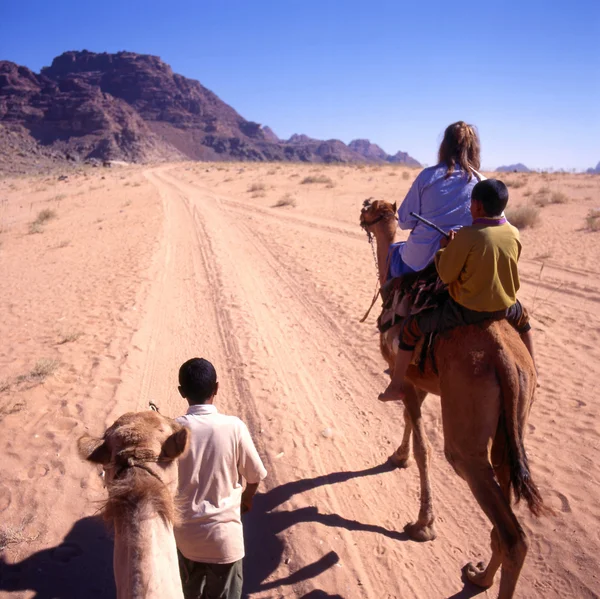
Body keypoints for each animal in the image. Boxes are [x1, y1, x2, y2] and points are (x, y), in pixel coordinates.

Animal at [358, 200, 548, 599]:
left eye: (372, 209)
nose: (363, 210)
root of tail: (505, 361)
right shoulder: (422, 382)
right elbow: (409, 424)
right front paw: (397, 457)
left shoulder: (405, 379)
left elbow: (422, 445)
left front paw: (422, 524)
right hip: (512, 419)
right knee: (504, 494)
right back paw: (479, 575)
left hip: (466, 427)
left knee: (510, 530)